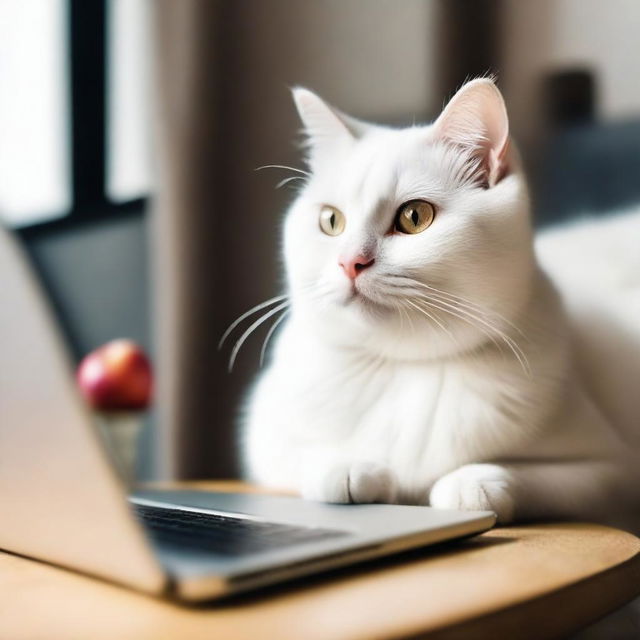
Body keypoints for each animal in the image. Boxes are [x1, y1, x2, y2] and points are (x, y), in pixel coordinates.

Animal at [236, 79, 640, 524]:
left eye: (415, 217)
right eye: (331, 221)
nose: (350, 262)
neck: (409, 368)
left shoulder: (611, 470)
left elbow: (545, 478)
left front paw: (473, 482)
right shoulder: (264, 432)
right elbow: (299, 456)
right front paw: (349, 466)